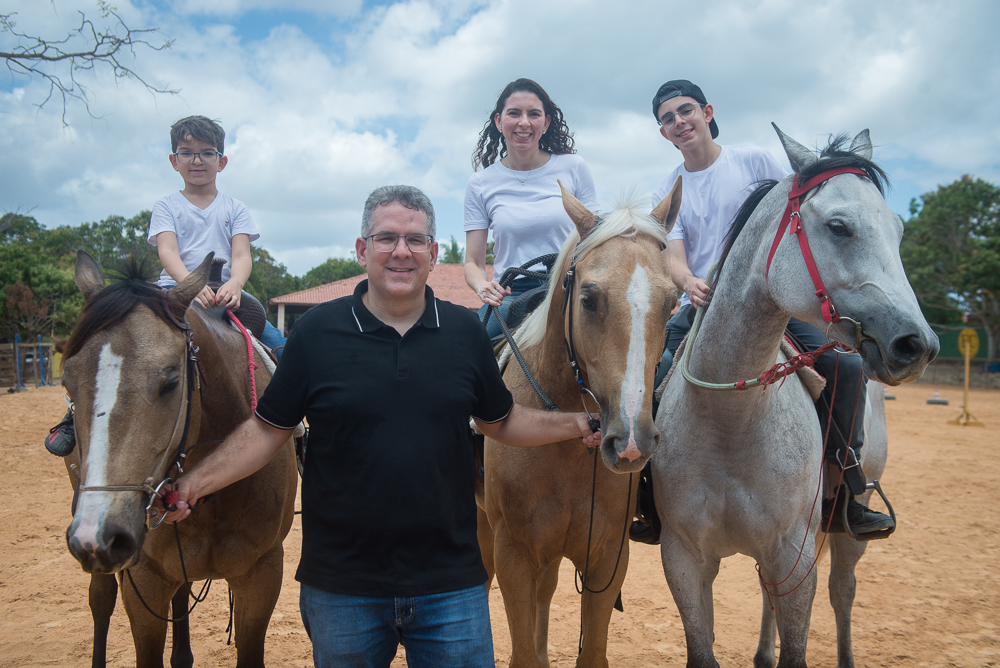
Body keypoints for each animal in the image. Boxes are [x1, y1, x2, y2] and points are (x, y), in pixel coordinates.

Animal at [61, 252, 296, 668]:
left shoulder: (263, 574)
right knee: (100, 600)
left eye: (171, 381)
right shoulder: (143, 579)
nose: (103, 534)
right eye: (68, 384)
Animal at [480, 179, 684, 668]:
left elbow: (590, 651)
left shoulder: (608, 557)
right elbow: (522, 654)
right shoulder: (512, 555)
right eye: (589, 299)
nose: (630, 443)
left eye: (671, 302)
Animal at [652, 126, 940, 668]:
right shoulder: (684, 558)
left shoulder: (795, 551)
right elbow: (704, 648)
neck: (732, 417)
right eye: (839, 227)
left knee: (842, 592)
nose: (917, 345)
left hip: (846, 530)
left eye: (898, 231)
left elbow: (799, 647)